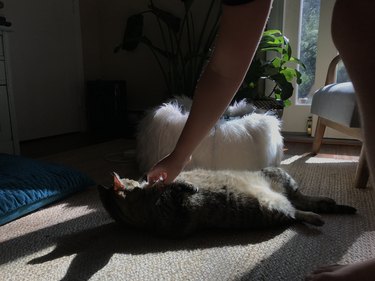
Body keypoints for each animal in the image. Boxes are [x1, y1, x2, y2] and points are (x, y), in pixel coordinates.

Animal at [98, 166, 356, 236]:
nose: (143, 177)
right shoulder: (177, 211)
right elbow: (177, 187)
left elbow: (174, 182)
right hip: (276, 207)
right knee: (298, 211)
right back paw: (319, 216)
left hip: (279, 176)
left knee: (301, 199)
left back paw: (329, 201)